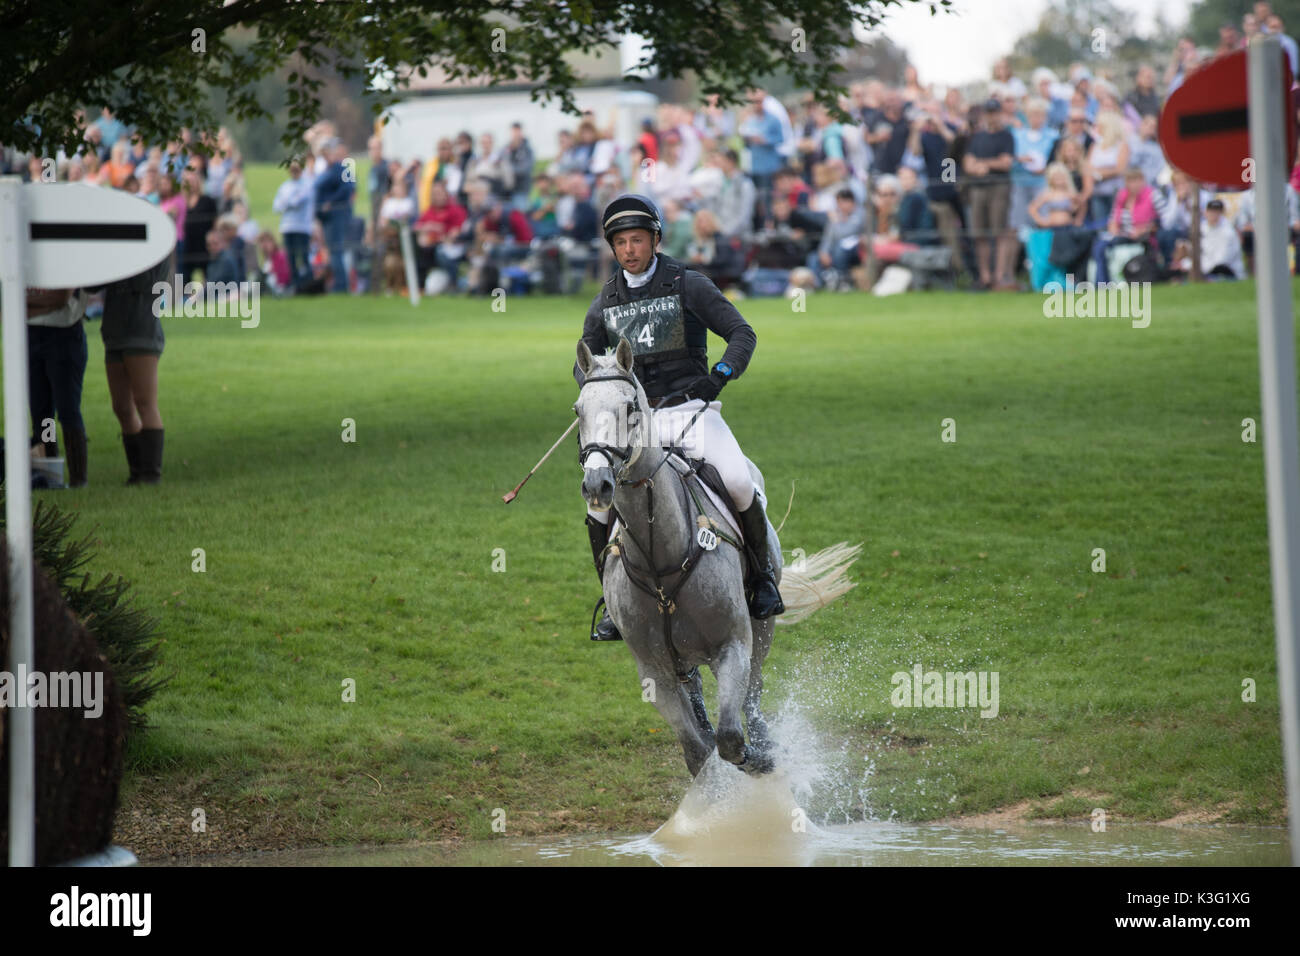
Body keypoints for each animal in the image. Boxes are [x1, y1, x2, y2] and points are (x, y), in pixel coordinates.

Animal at [579, 335, 863, 780]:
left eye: (629, 409)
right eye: (578, 411)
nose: (596, 485)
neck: (661, 564)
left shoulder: (732, 645)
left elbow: (731, 738)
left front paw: (761, 759)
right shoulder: (655, 672)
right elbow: (699, 751)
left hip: (760, 631)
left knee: (752, 696)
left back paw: (765, 743)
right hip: (685, 659)